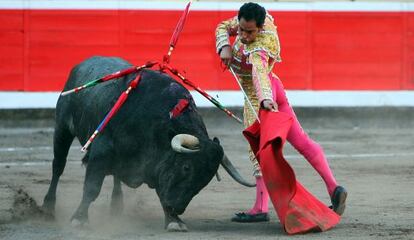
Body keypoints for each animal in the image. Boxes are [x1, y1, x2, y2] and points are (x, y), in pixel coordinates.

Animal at [42, 55, 256, 231]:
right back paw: (48, 207)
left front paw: (174, 221)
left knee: (116, 176)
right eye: (186, 167)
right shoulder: (101, 152)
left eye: (207, 178)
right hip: (62, 128)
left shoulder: (156, 165)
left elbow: (161, 191)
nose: (177, 207)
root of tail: (82, 64)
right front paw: (79, 219)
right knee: (58, 166)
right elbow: (92, 188)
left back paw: (116, 206)